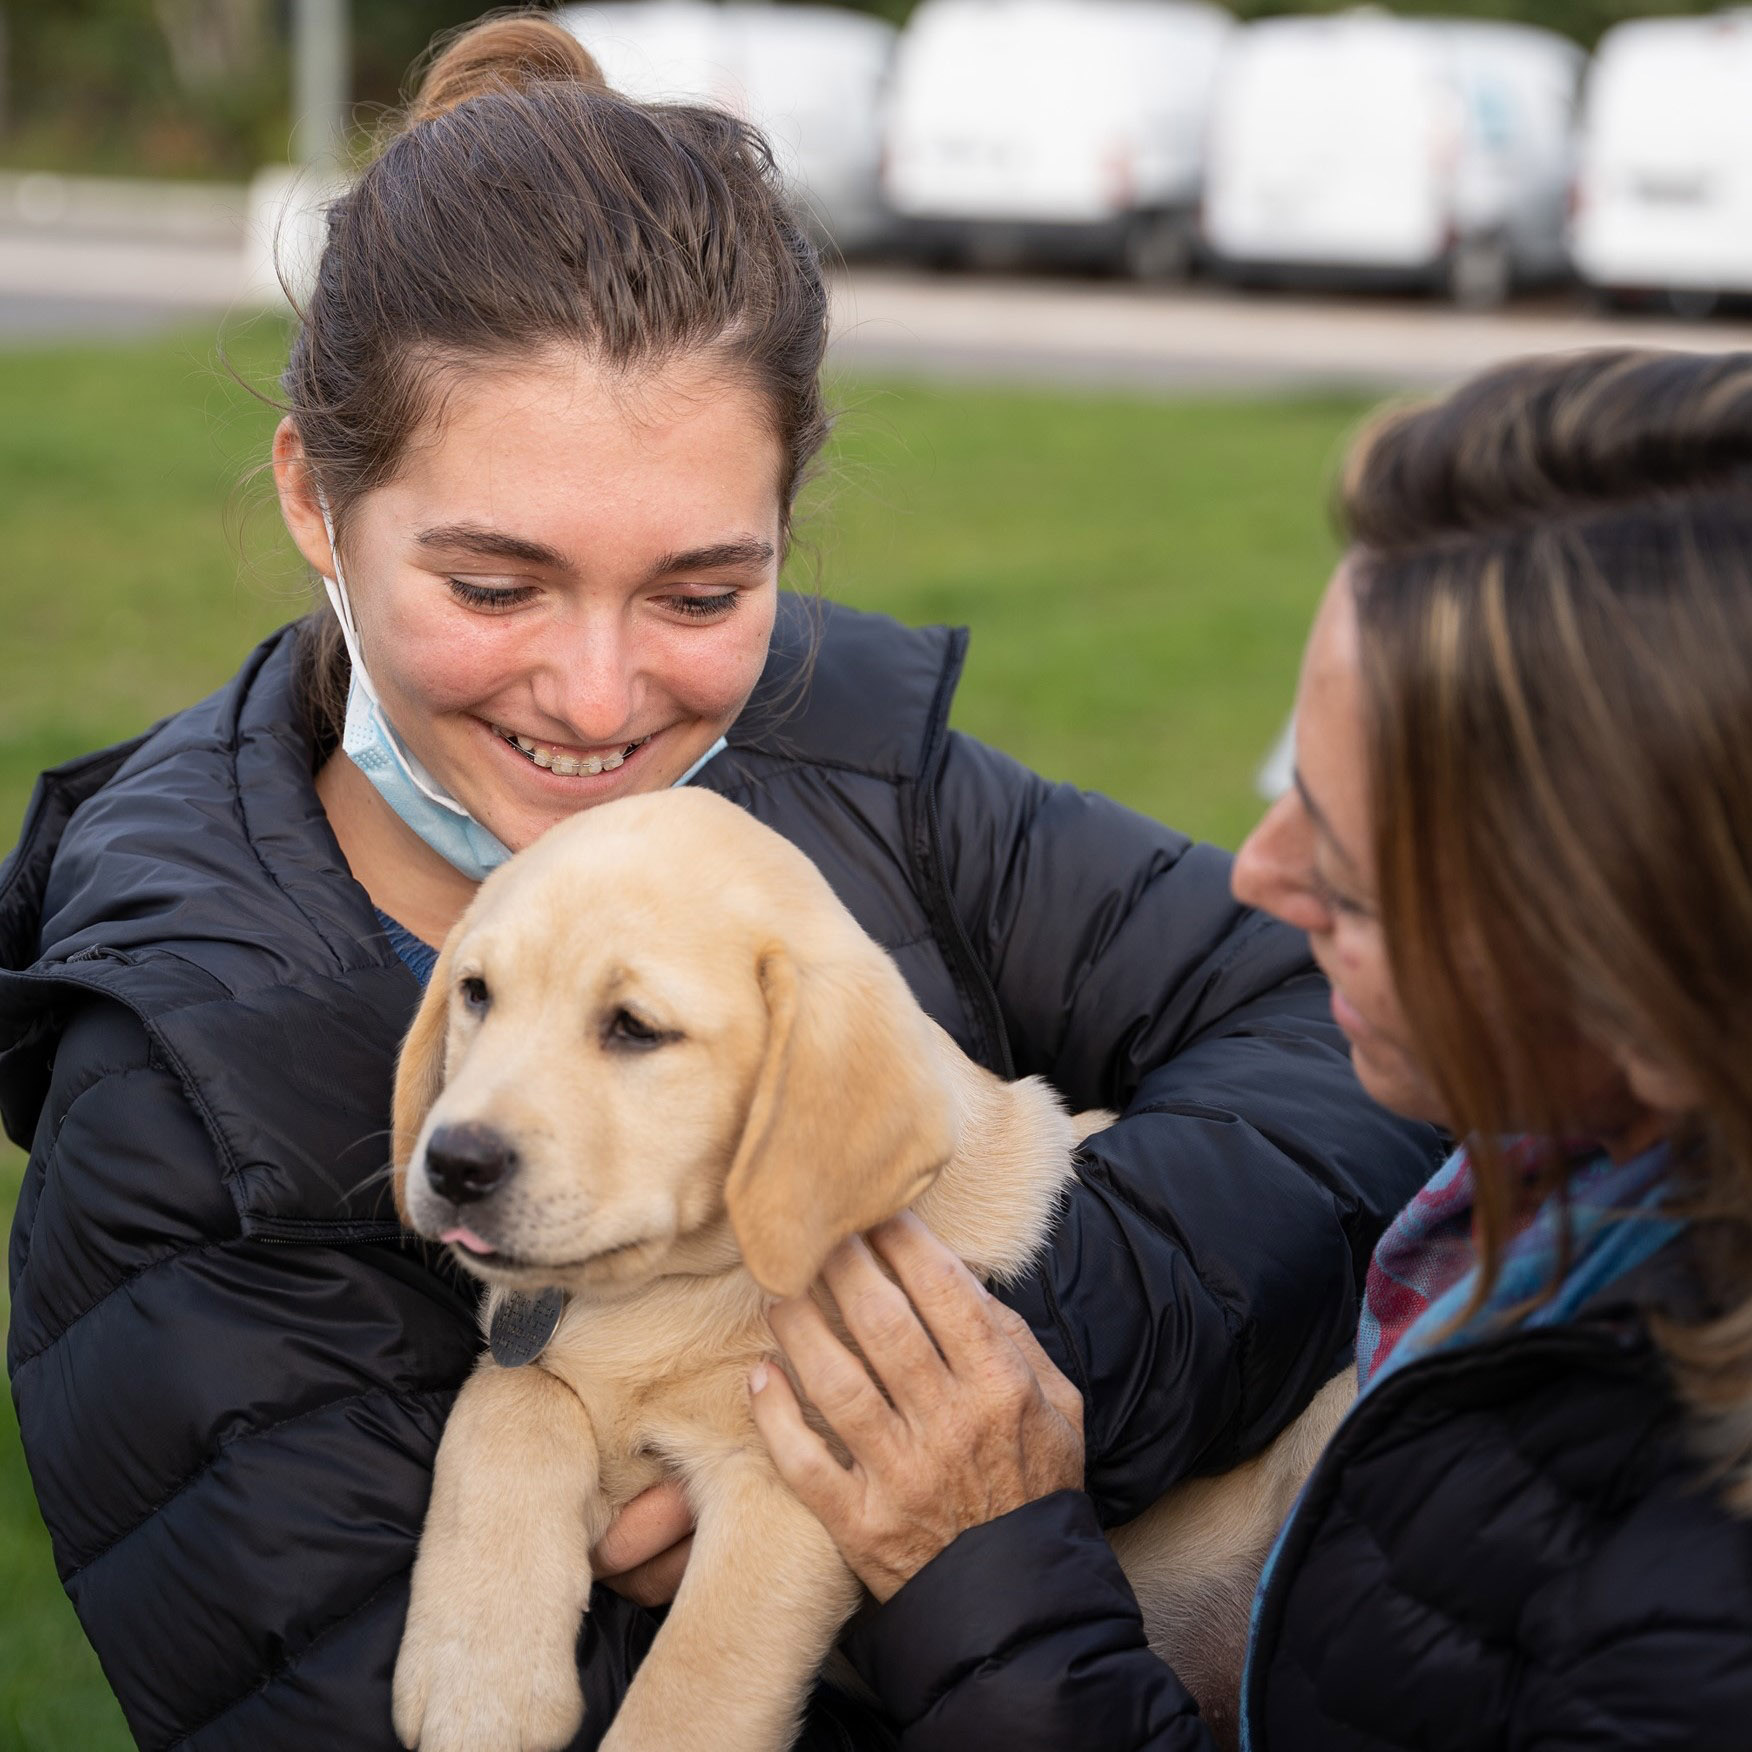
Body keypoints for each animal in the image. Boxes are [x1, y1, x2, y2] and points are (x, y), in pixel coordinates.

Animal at [390, 791, 1345, 1752]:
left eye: (636, 1028)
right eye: (476, 994)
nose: (455, 1164)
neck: (674, 1288)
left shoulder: (804, 1482)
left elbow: (691, 1691)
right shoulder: (541, 1357)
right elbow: (506, 1400)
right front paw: (479, 1678)